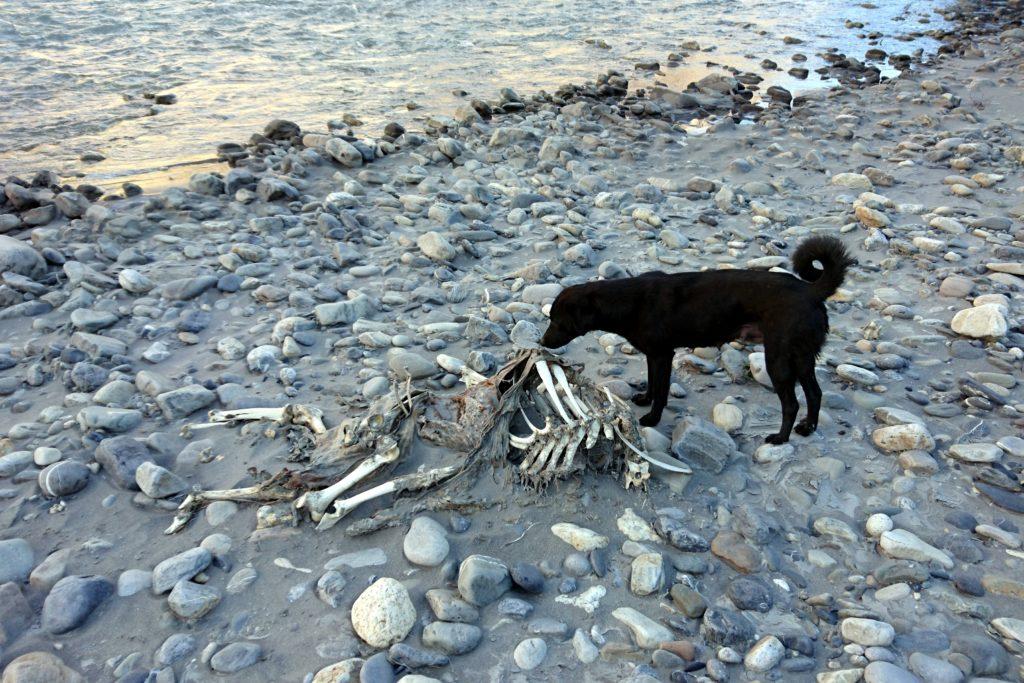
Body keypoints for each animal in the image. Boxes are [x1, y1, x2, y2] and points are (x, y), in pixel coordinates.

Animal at [540, 237, 851, 446]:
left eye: (557, 320)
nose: (542, 341)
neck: (628, 302)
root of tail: (811, 291)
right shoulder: (654, 355)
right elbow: (652, 383)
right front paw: (644, 399)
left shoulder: (662, 355)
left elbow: (662, 391)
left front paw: (652, 418)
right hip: (801, 357)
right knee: (815, 393)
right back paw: (808, 428)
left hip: (779, 359)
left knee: (792, 403)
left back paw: (780, 438)